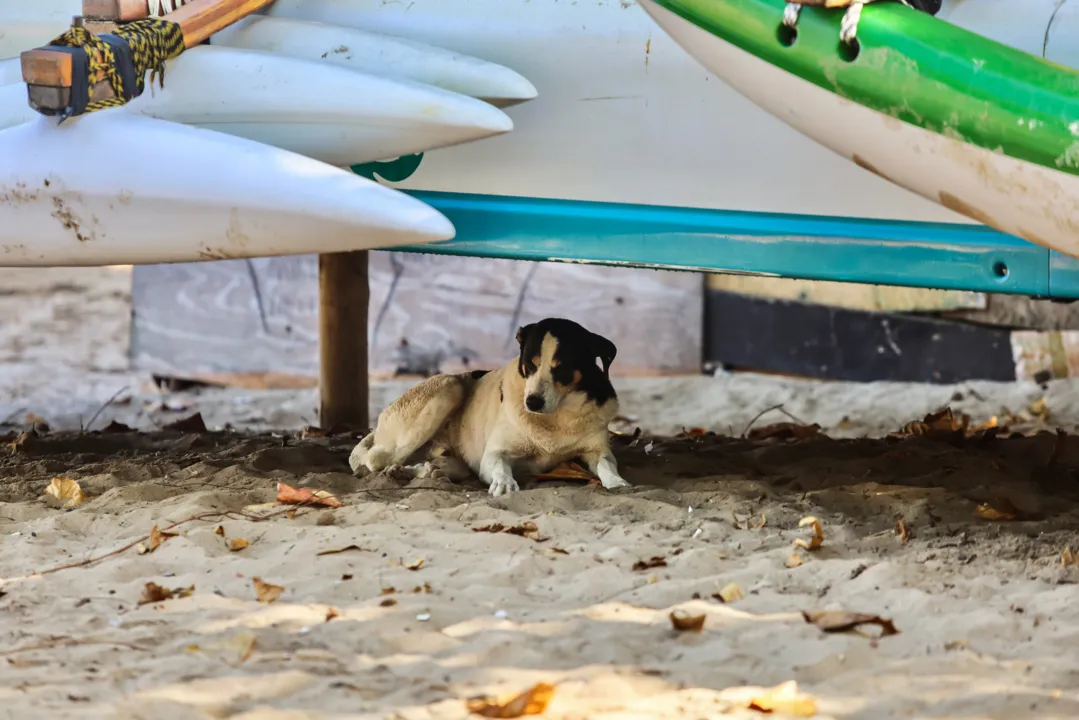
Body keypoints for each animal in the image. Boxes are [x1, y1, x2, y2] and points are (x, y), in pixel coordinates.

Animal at [345, 319, 630, 496]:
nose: (532, 402)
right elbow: (501, 467)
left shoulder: (597, 450)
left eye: (561, 367)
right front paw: (504, 484)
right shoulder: (495, 454)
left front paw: (617, 481)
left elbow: (607, 464)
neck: (554, 418)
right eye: (530, 364)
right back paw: (400, 470)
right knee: (375, 460)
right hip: (449, 388)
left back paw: (431, 470)